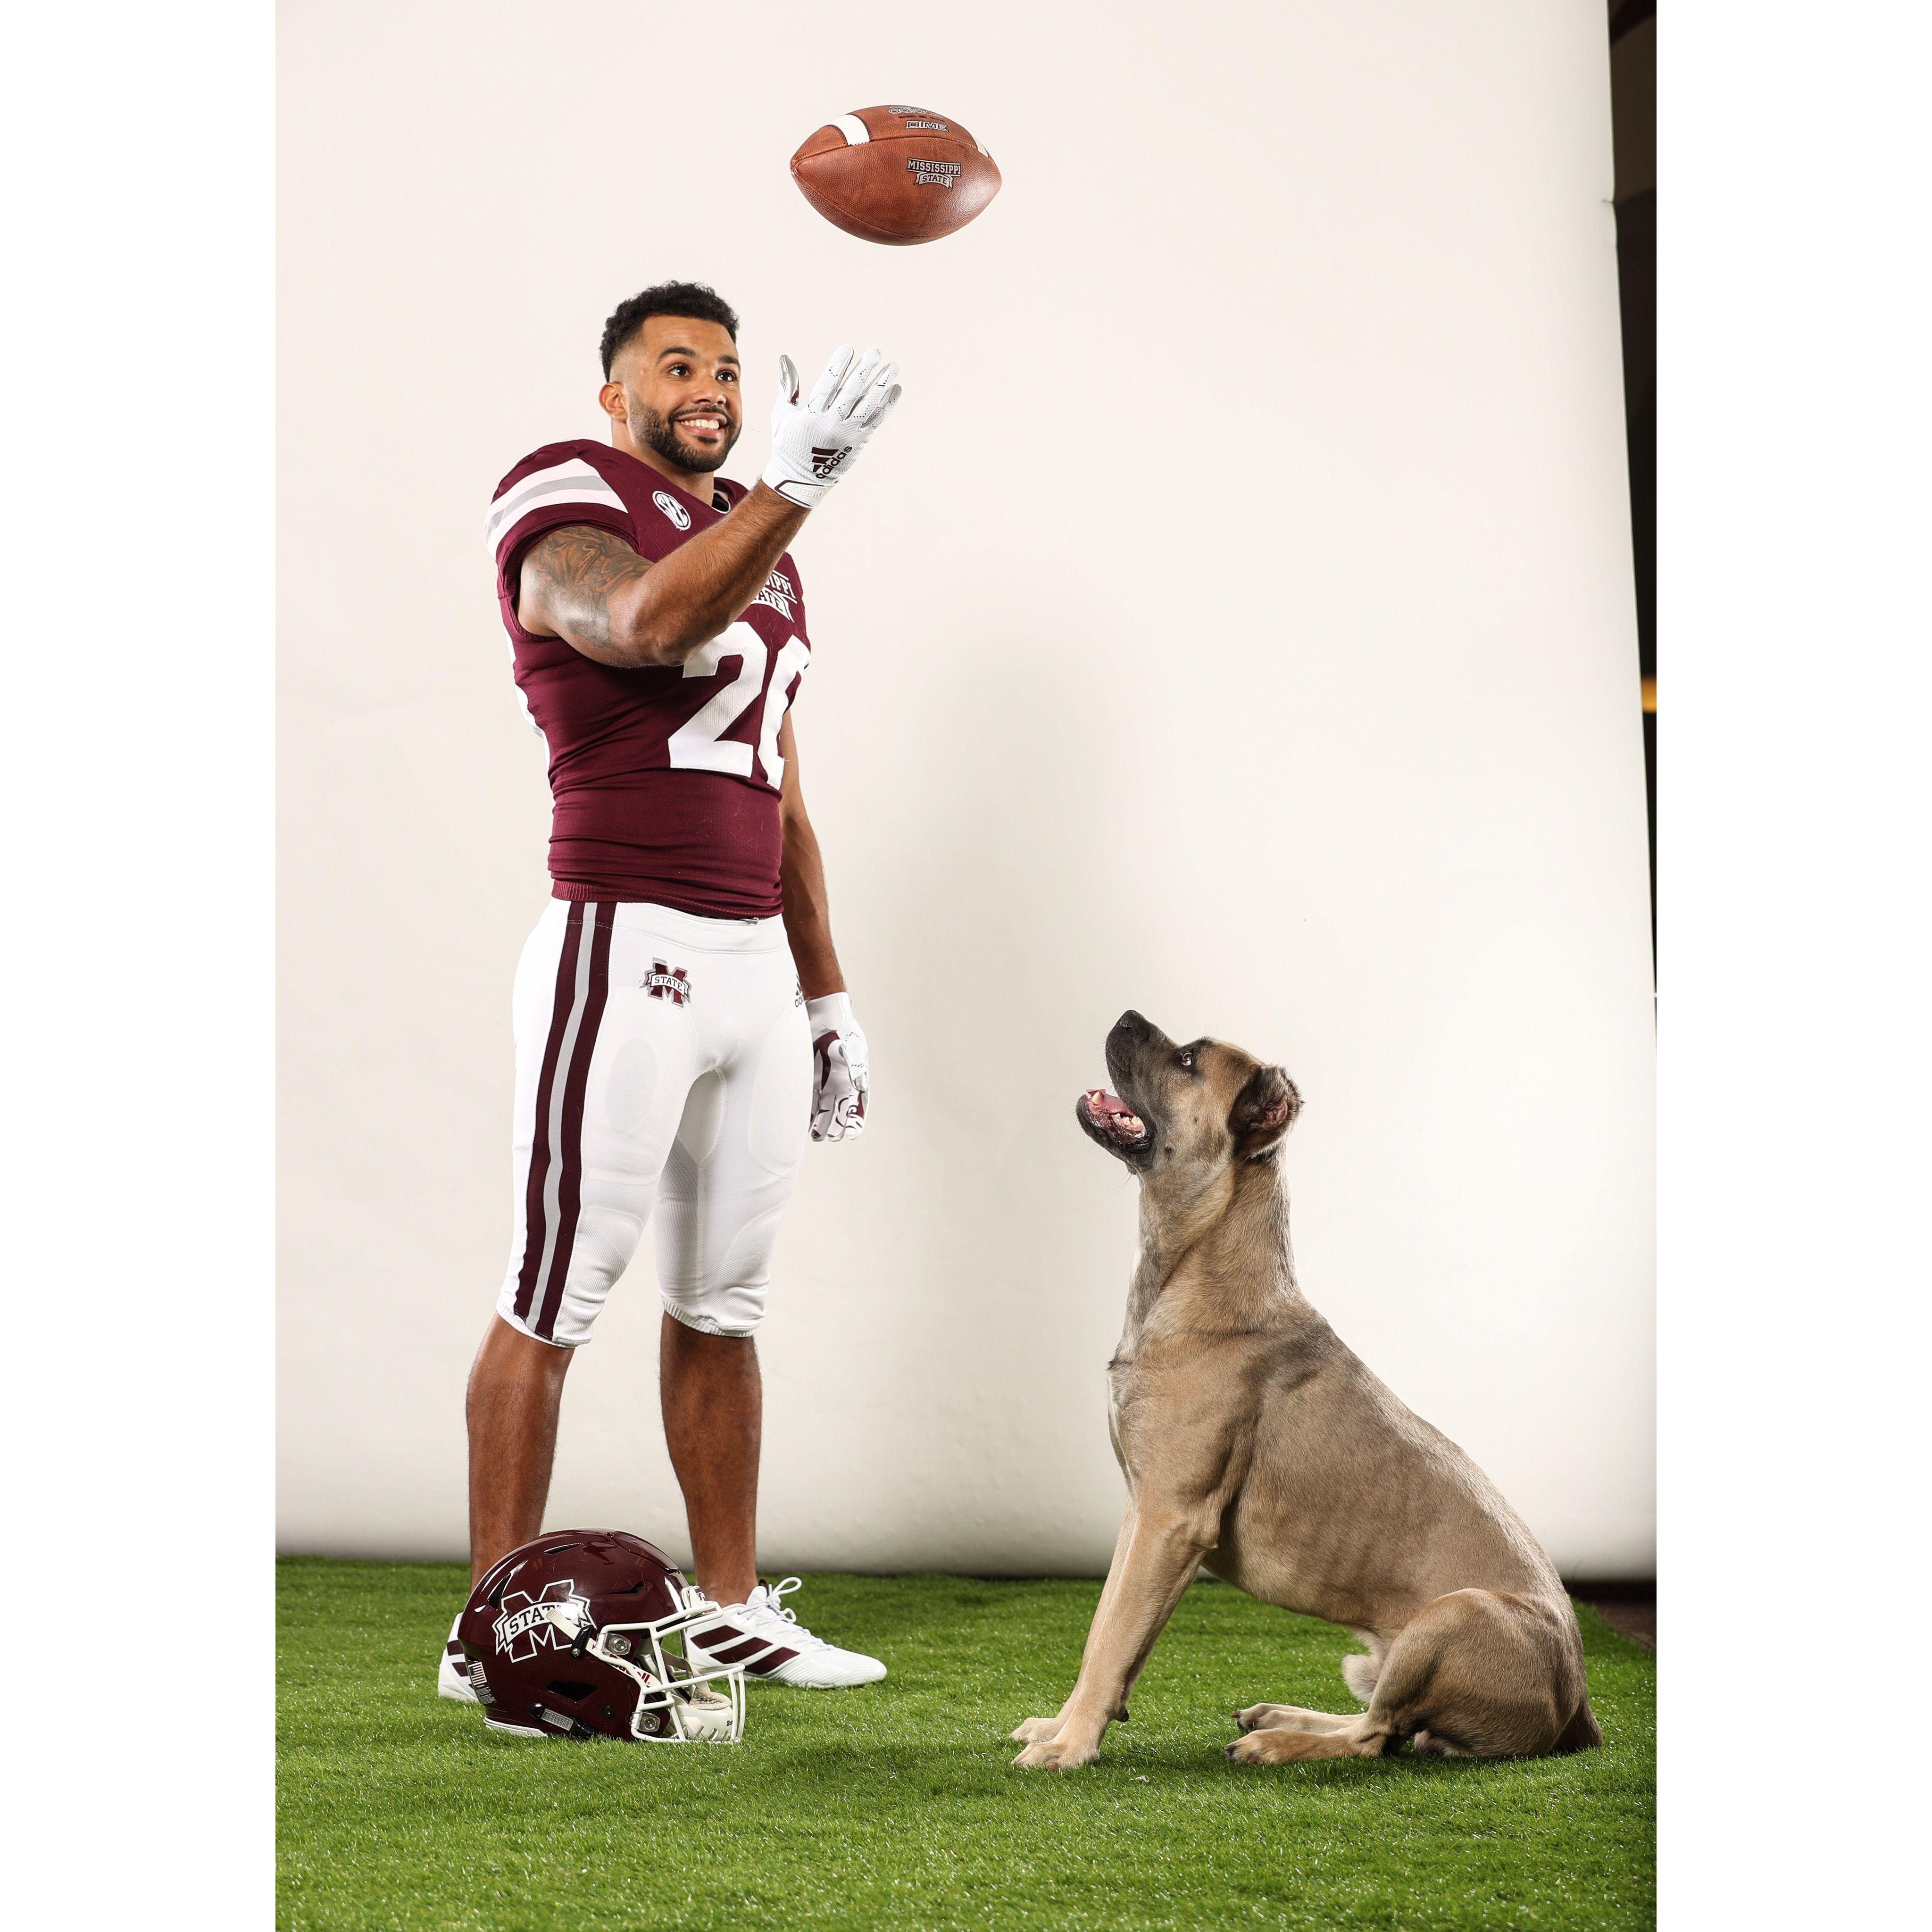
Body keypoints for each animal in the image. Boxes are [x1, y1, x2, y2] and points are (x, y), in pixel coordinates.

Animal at [1012, 1020, 1599, 1769]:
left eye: (1187, 1060)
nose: (1126, 1016)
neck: (1196, 1267)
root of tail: (1577, 1709)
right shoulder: (1140, 1515)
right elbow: (1104, 1631)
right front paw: (1062, 1728)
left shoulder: (1170, 1519)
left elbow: (1113, 1638)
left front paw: (1071, 1747)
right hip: (1378, 1658)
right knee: (1380, 1725)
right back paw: (1277, 1715)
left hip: (1453, 1615)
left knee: (1376, 1739)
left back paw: (1275, 1742)